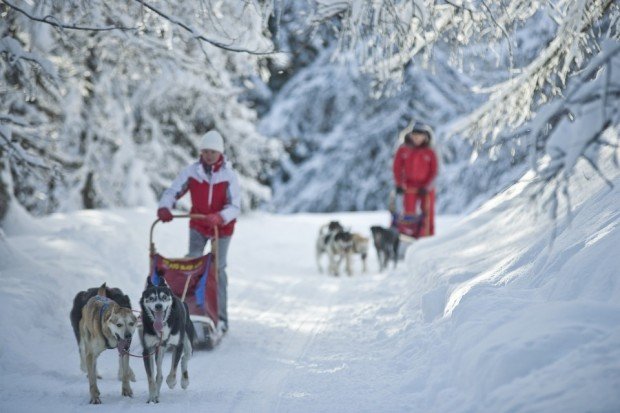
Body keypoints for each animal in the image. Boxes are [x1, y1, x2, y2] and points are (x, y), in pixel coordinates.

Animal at [140, 274, 196, 402]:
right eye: (151, 298)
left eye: (164, 297)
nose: (158, 306)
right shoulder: (148, 350)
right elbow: (151, 378)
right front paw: (152, 397)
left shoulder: (178, 345)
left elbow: (173, 370)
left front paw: (171, 382)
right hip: (159, 350)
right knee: (159, 374)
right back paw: (157, 392)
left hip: (188, 344)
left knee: (184, 358)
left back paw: (184, 381)